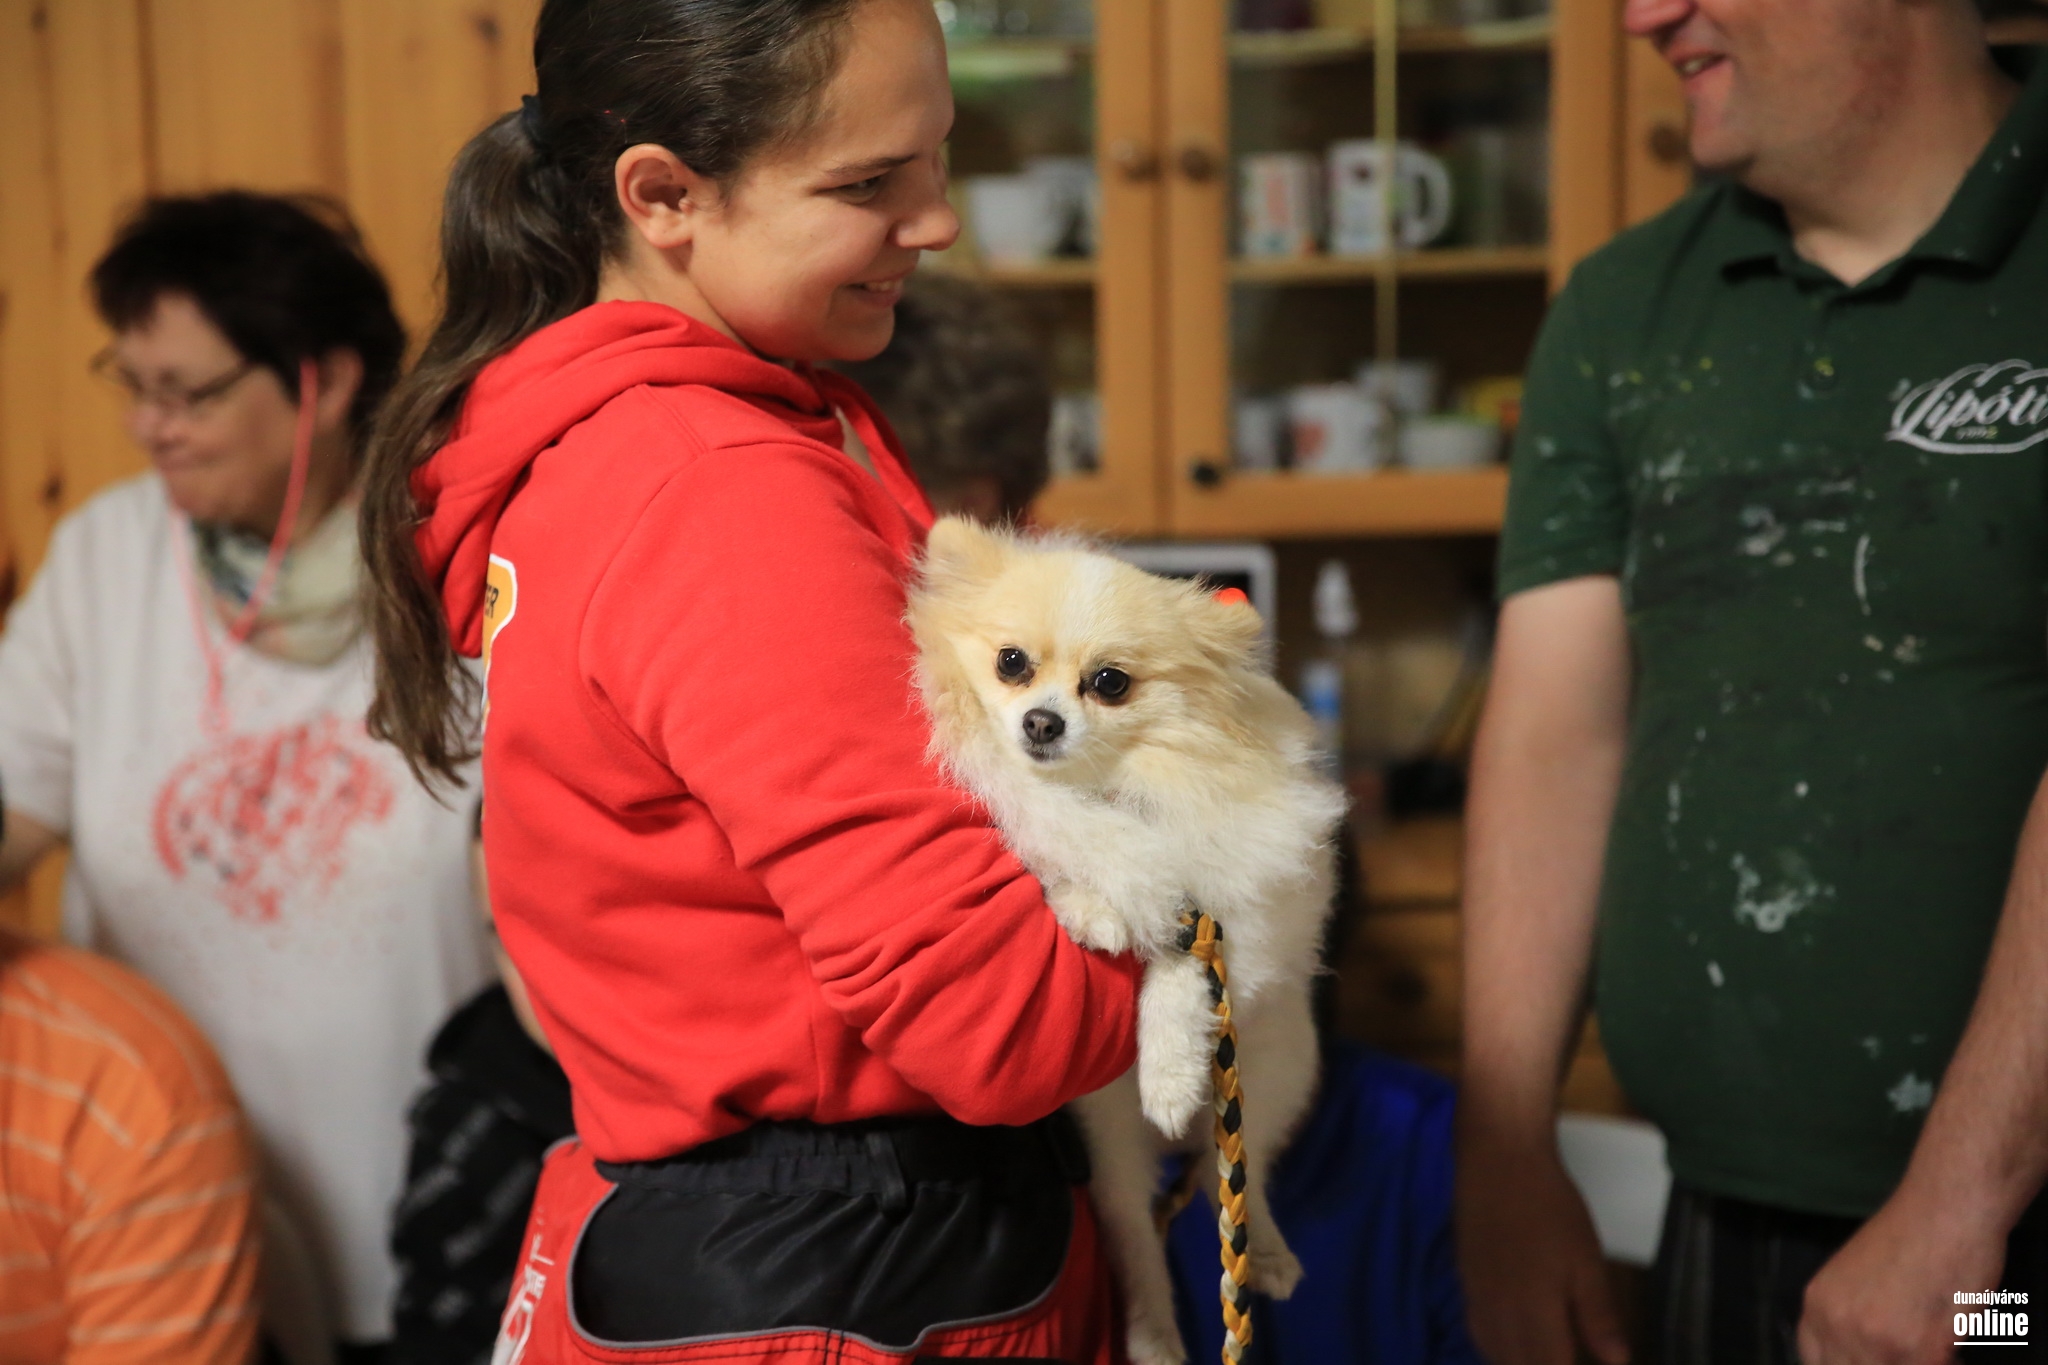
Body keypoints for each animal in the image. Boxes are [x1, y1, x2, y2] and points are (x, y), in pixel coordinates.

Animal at [908, 517, 1347, 1365]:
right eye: (1012, 663)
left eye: (1110, 682)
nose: (1041, 722)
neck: (1107, 786)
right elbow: (1068, 856)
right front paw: (1090, 903)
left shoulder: (1247, 901)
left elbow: (1180, 958)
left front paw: (1170, 1072)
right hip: (1110, 1148)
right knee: (1141, 1232)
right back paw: (1152, 1333)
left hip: (1277, 1065)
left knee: (1241, 1174)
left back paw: (1267, 1249)